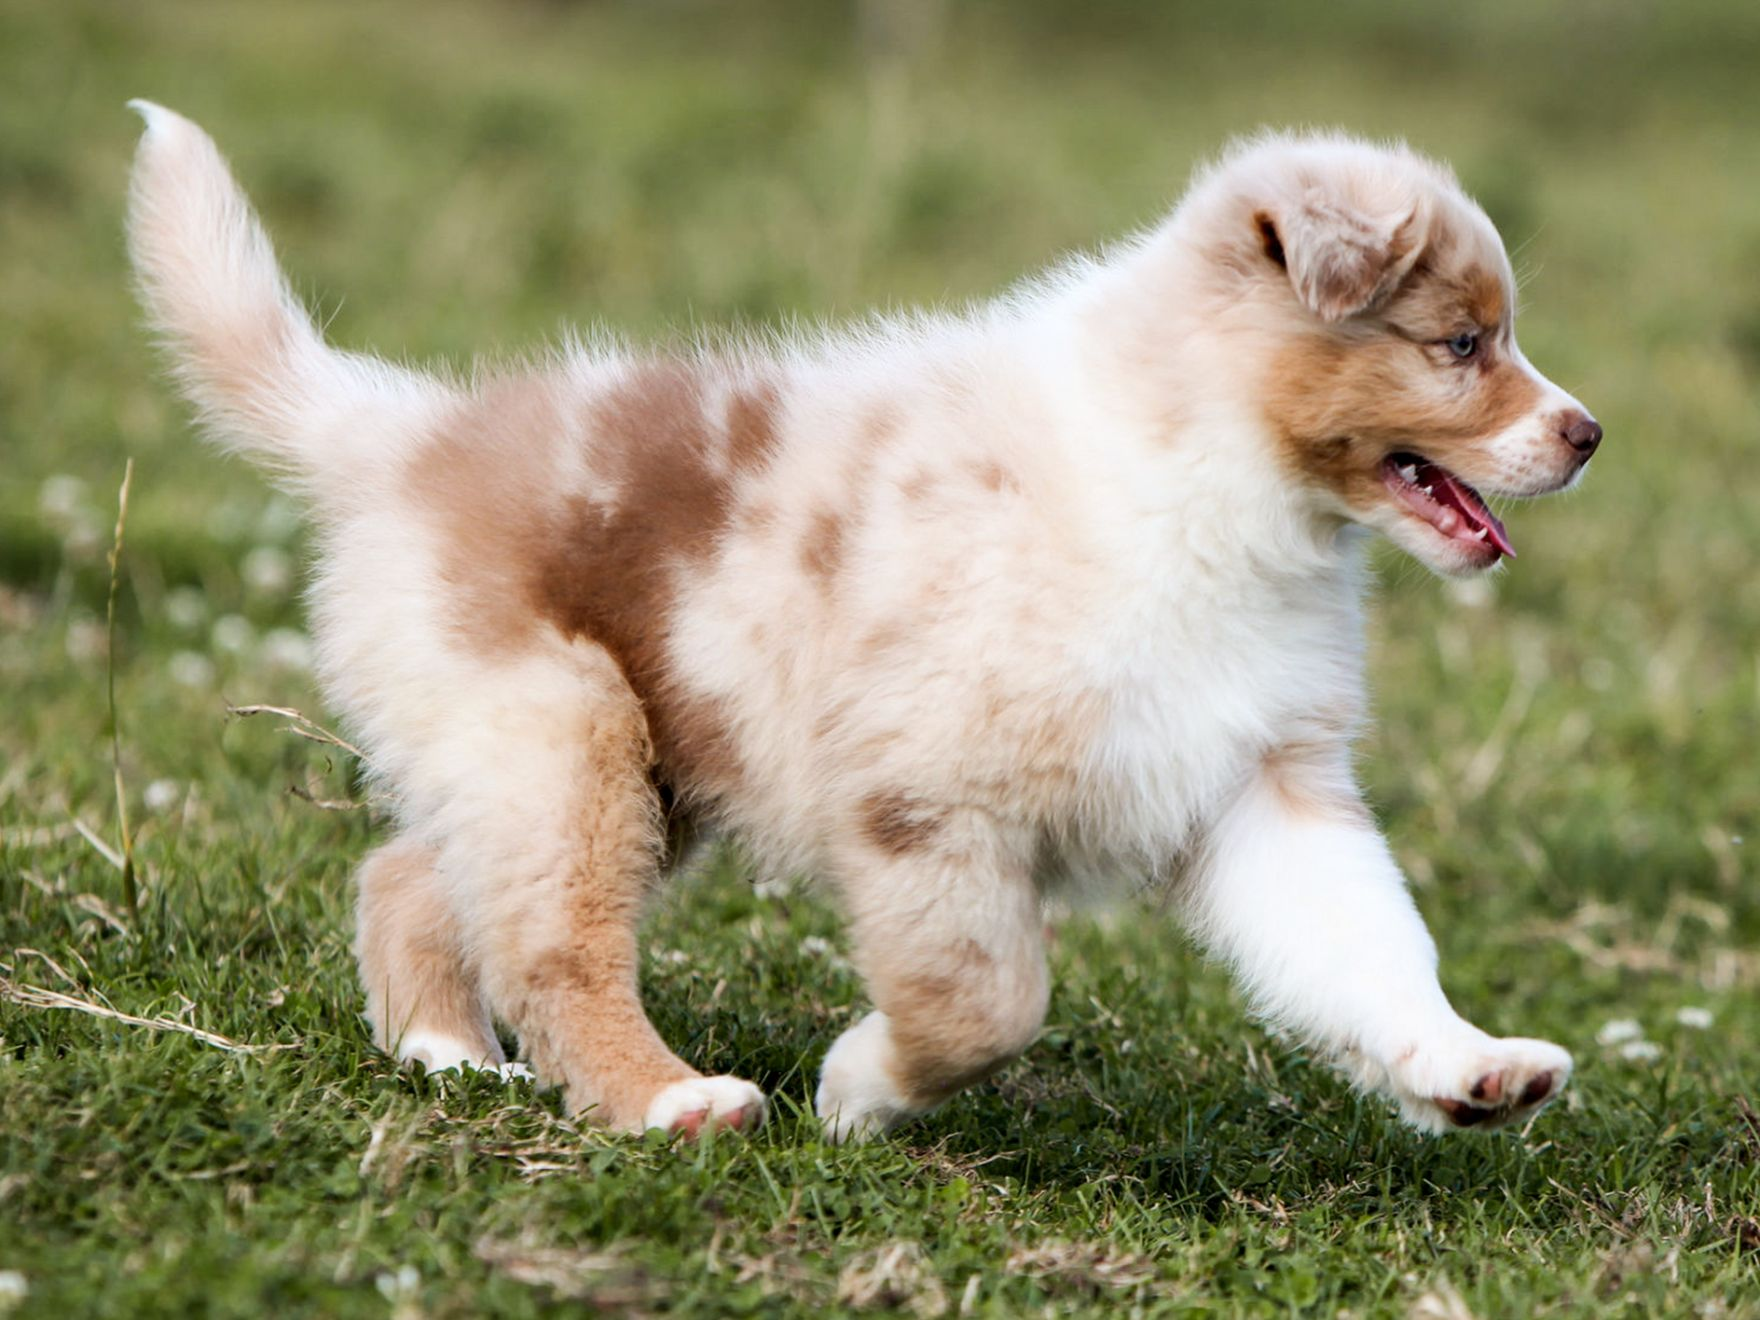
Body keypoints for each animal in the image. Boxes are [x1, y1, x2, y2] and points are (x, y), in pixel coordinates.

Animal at [130, 100, 1605, 1140]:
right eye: (1461, 344)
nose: (1589, 434)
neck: (1209, 477)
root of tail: (407, 433)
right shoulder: (925, 798)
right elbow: (985, 999)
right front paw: (860, 1088)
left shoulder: (1262, 778)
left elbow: (1368, 944)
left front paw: (1469, 1067)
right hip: (562, 730)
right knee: (550, 944)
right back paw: (667, 1102)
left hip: (622, 756)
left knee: (410, 878)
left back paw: (446, 1054)